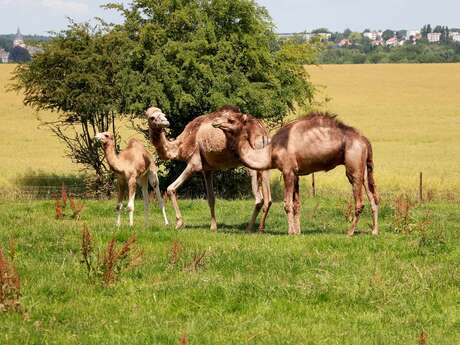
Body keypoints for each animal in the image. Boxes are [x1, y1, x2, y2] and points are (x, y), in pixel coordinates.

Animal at [214, 111, 380, 235]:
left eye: (230, 119)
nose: (215, 122)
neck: (270, 152)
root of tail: (365, 140)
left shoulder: (287, 170)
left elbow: (287, 204)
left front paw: (290, 232)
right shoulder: (296, 173)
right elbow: (297, 204)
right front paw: (298, 231)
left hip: (354, 163)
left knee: (360, 201)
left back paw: (350, 232)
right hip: (364, 166)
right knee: (373, 197)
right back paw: (374, 231)